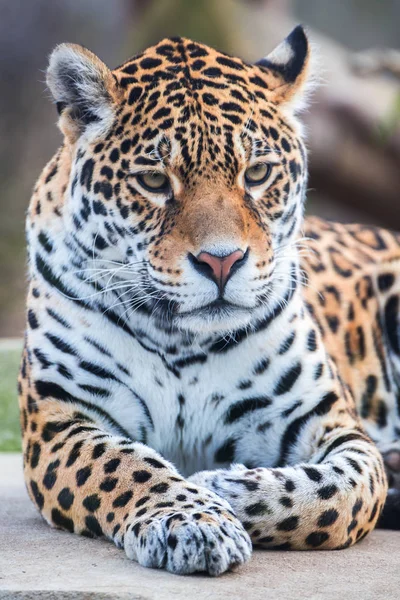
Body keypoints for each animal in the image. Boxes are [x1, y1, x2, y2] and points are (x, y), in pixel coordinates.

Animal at [18, 24, 400, 576]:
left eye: (257, 173)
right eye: (155, 180)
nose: (222, 262)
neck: (183, 341)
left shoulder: (328, 418)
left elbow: (344, 491)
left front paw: (225, 487)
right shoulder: (61, 418)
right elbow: (126, 465)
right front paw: (193, 522)